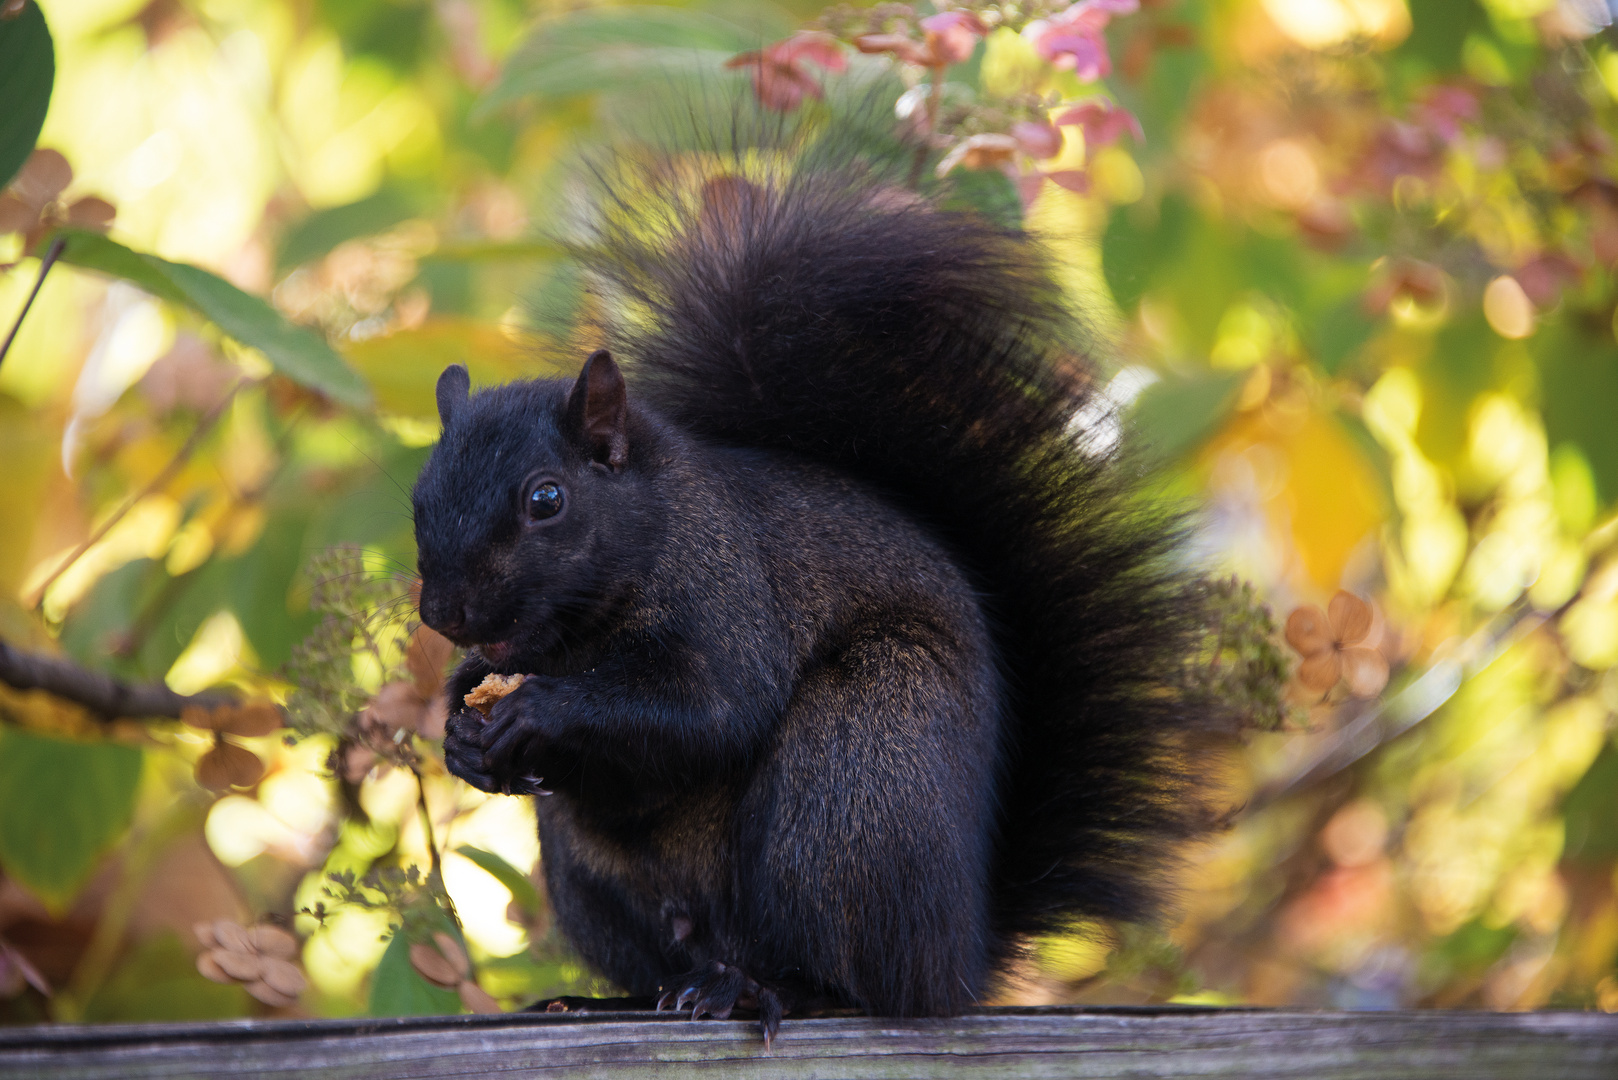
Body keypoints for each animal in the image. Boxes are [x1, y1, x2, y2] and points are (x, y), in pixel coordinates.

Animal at [410, 128, 1216, 1049]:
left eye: (546, 499)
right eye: (419, 496)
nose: (443, 612)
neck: (588, 629)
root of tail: (959, 955)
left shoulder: (727, 594)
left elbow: (713, 708)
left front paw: (536, 709)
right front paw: (462, 731)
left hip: (855, 776)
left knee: (854, 980)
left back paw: (769, 991)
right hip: (601, 884)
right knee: (663, 963)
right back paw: (617, 999)